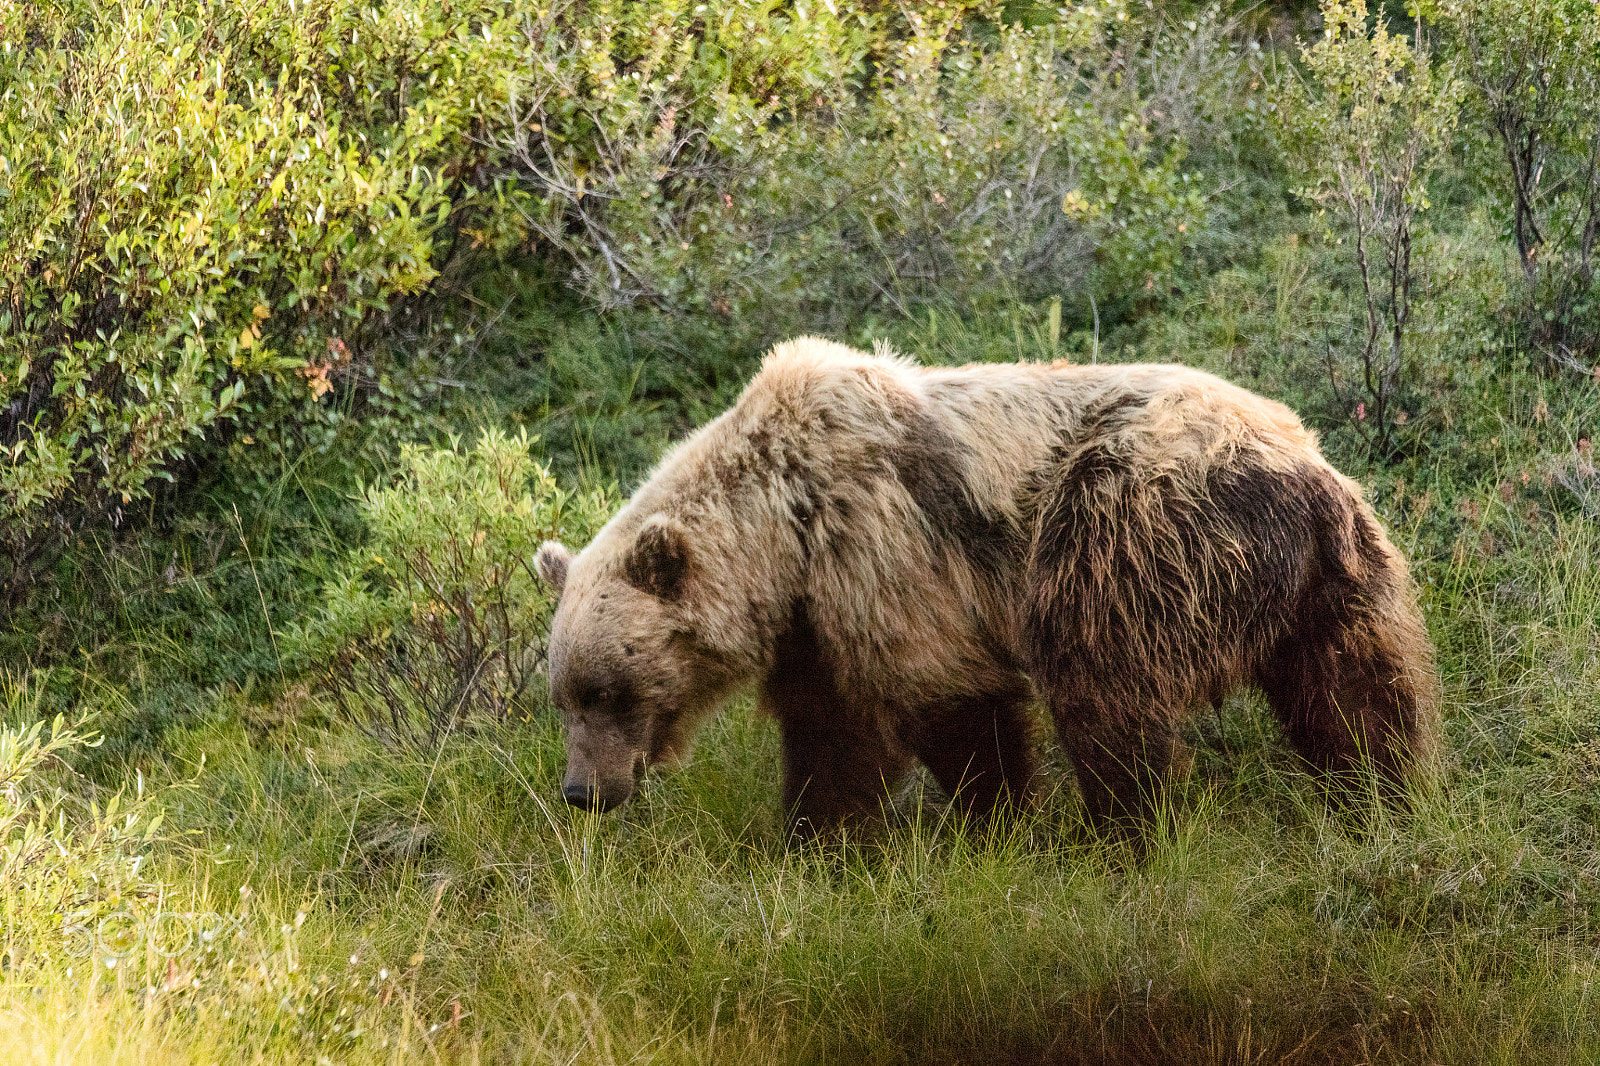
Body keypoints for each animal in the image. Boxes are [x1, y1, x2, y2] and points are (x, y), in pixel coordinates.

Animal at [534, 337, 1439, 835]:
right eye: (564, 694)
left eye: (610, 689)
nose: (582, 792)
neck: (785, 530)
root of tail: (1308, 475)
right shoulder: (818, 620)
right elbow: (832, 731)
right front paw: (816, 836)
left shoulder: (888, 554)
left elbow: (951, 703)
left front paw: (995, 818)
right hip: (1335, 584)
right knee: (1356, 694)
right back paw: (1382, 794)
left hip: (1133, 527)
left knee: (1102, 684)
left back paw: (1125, 830)